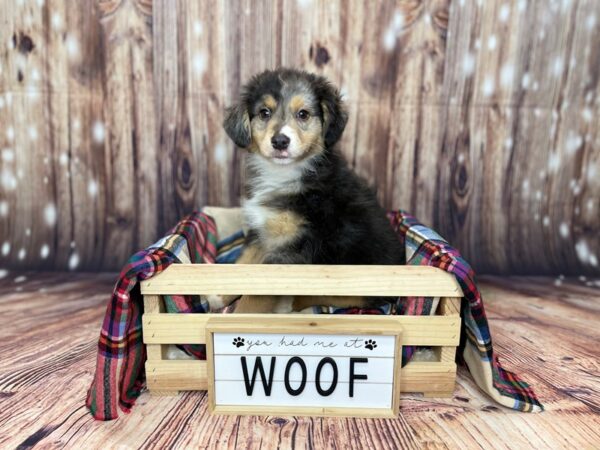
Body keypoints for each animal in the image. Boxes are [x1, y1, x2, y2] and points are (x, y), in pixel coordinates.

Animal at [223, 67, 406, 312]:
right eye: (264, 113)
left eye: (303, 114)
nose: (280, 141)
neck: (284, 175)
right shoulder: (262, 232)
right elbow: (242, 263)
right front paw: (214, 295)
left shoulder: (293, 245)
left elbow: (254, 299)